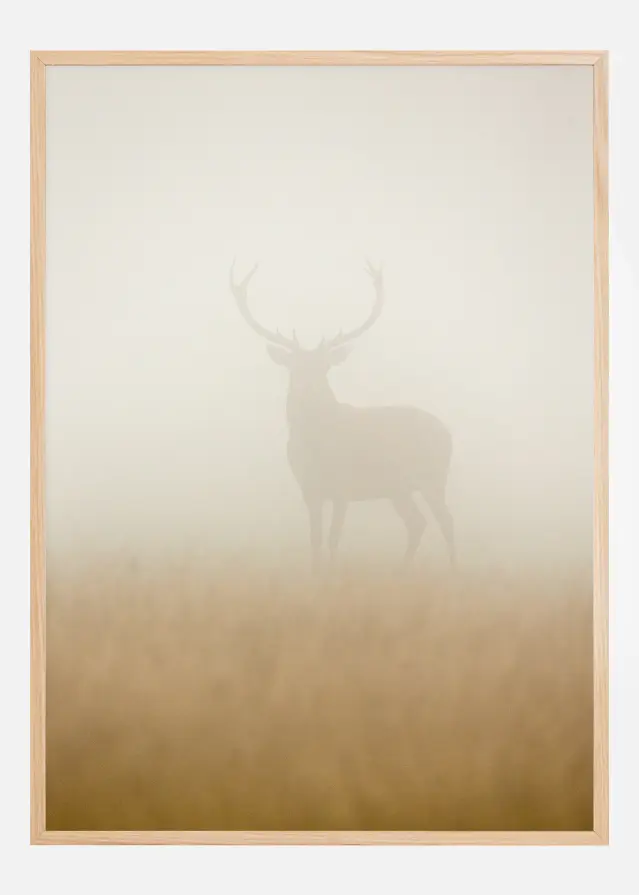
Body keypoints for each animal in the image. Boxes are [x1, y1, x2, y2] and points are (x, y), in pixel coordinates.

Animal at [230, 261, 456, 571]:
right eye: (294, 366)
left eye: (324, 367)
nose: (307, 390)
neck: (315, 445)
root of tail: (448, 433)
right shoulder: (309, 489)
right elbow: (315, 539)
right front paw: (316, 571)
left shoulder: (342, 487)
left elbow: (334, 537)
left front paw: (332, 572)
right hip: (398, 488)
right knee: (417, 522)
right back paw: (402, 569)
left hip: (433, 476)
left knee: (446, 521)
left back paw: (453, 568)